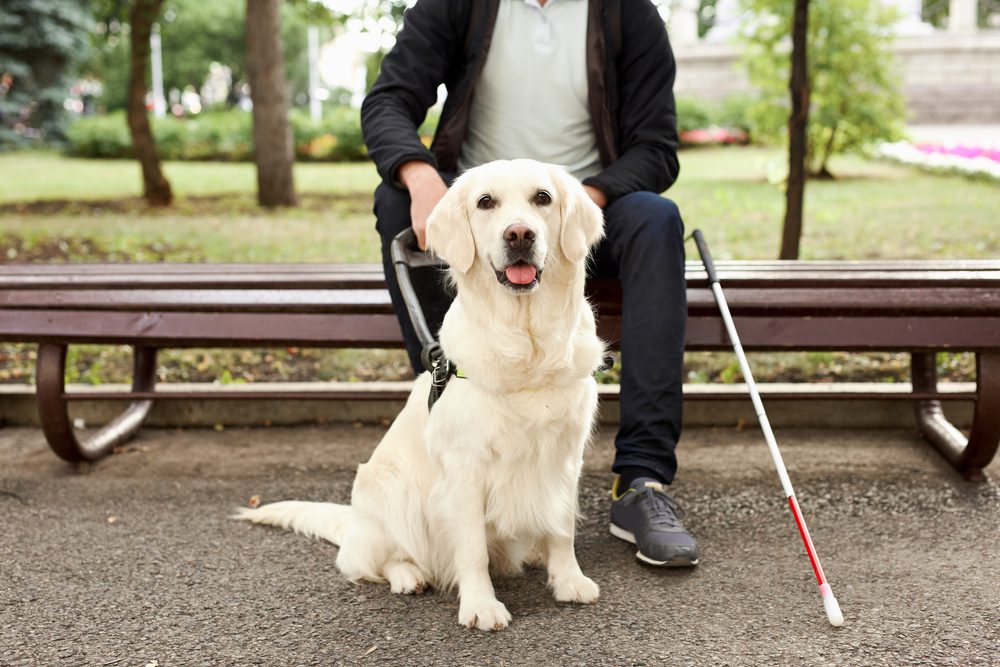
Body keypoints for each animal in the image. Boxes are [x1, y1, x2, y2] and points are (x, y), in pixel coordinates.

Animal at [238, 158, 604, 632]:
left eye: (542, 198)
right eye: (486, 202)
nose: (520, 234)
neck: (527, 346)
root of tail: (354, 523)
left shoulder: (564, 456)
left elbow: (562, 528)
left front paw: (568, 580)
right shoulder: (464, 469)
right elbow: (472, 549)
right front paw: (481, 605)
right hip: (390, 490)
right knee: (373, 560)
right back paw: (408, 576)